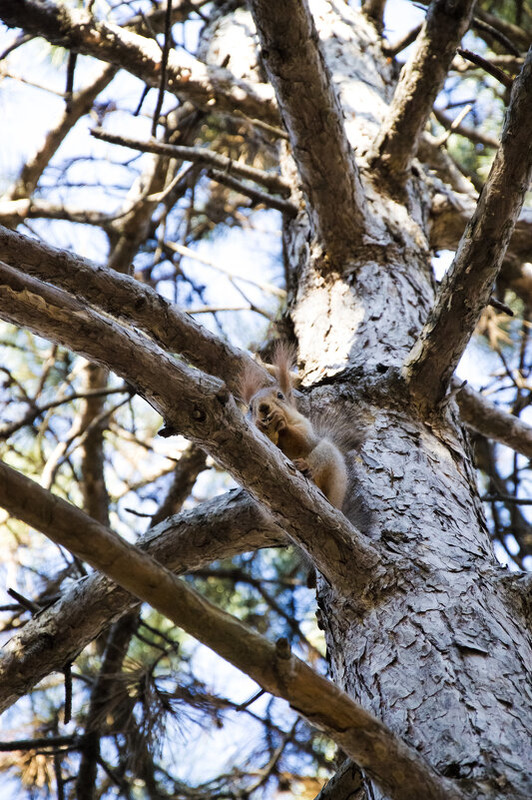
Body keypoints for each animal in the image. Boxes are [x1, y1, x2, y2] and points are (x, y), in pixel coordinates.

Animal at [241, 342, 350, 506]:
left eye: (280, 396)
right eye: (251, 408)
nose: (263, 407)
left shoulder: (305, 427)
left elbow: (303, 440)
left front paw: (282, 421)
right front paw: (260, 425)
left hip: (330, 460)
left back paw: (305, 467)